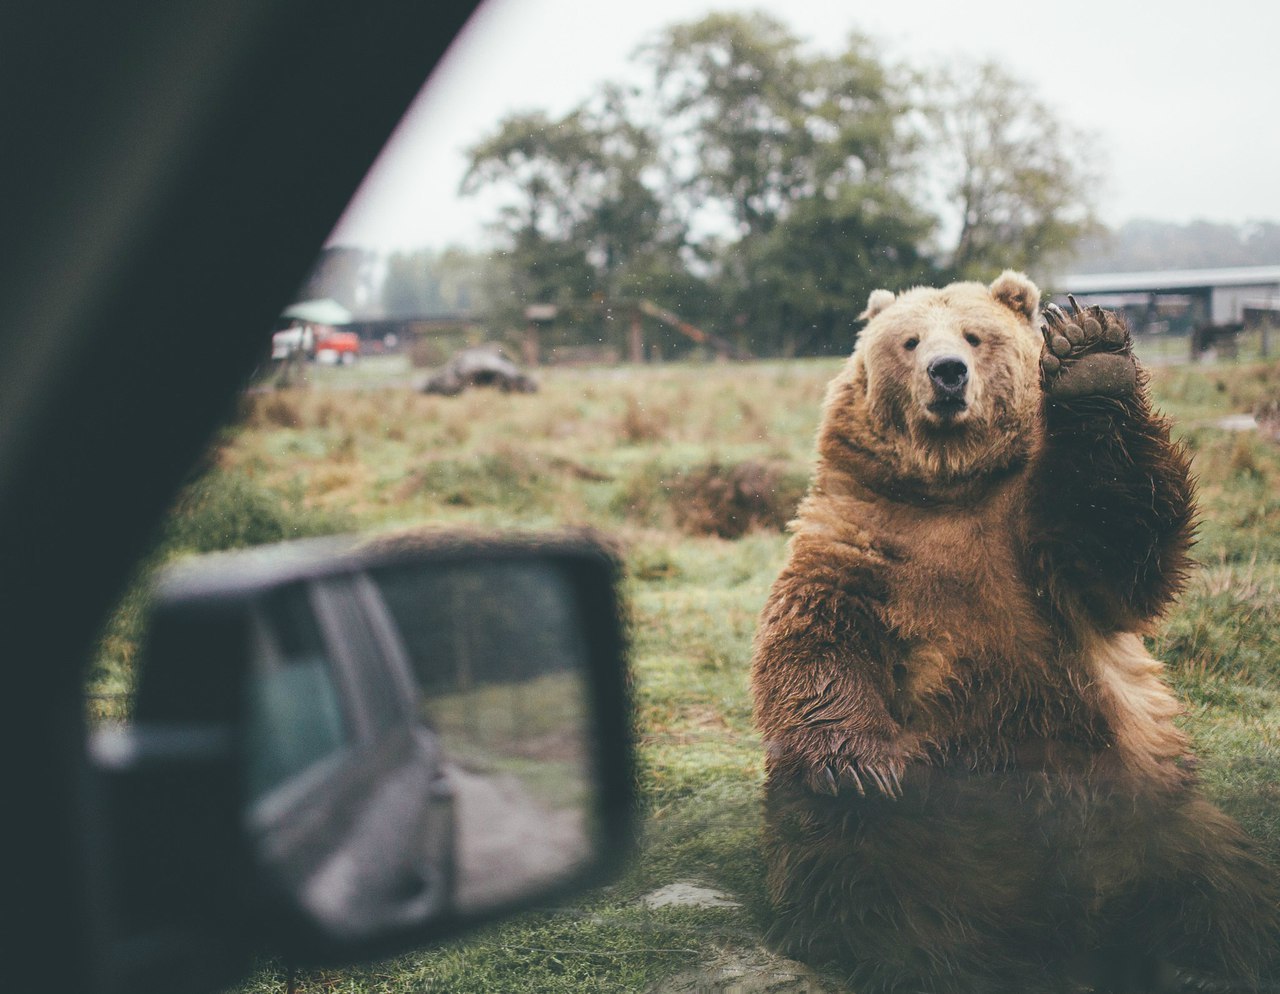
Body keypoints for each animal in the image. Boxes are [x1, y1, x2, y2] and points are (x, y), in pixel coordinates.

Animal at [747, 271, 1280, 992]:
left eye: (976, 335)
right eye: (909, 340)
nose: (947, 373)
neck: (949, 488)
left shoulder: (1038, 546)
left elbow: (1118, 538)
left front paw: (1091, 355)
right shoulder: (861, 543)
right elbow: (817, 641)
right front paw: (858, 765)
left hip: (1156, 809)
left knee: (1219, 887)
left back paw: (1204, 964)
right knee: (855, 863)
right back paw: (919, 954)